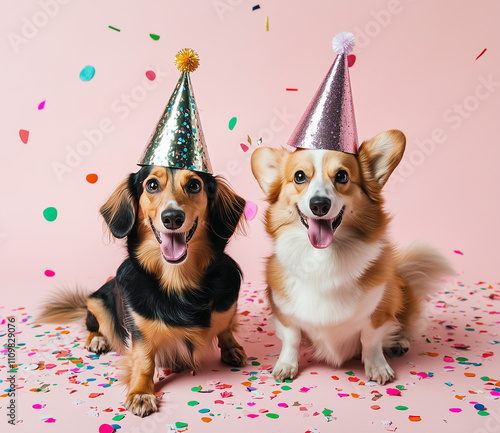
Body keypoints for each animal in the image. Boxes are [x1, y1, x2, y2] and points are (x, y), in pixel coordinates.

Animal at [40, 166, 247, 416]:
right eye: (152, 185)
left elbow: (225, 328)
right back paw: (97, 340)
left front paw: (232, 348)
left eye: (194, 185)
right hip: (98, 301)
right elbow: (145, 362)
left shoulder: (229, 305)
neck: (179, 281)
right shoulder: (139, 333)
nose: (172, 218)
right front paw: (140, 393)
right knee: (93, 324)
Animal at [252, 129, 456, 384]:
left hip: (402, 292)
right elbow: (292, 339)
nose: (319, 205)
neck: (323, 258)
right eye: (299, 177)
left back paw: (400, 341)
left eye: (342, 176)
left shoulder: (379, 311)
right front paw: (286, 365)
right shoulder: (284, 314)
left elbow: (370, 340)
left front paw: (377, 367)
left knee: (407, 323)